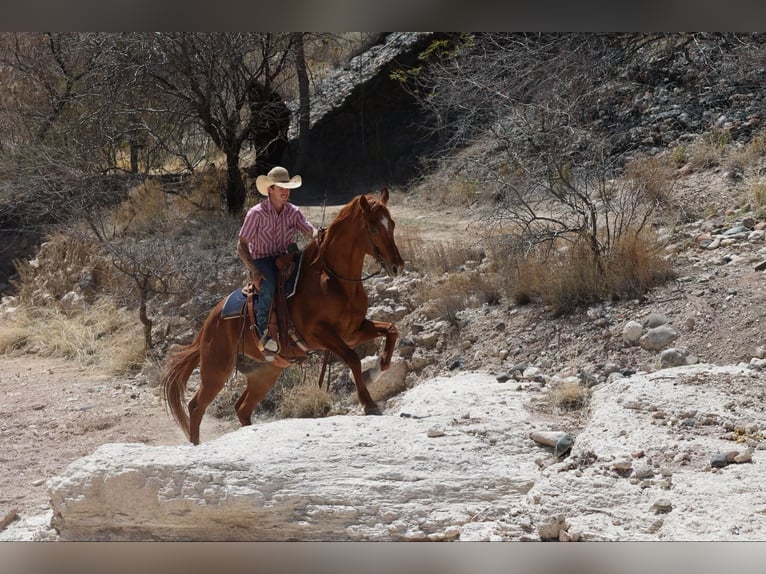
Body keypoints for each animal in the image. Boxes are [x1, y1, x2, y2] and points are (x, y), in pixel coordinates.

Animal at [161, 188, 405, 445]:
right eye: (373, 228)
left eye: (392, 224)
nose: (397, 266)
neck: (334, 281)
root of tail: (209, 322)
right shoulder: (319, 335)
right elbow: (352, 358)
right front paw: (368, 401)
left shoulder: (353, 331)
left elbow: (391, 330)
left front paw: (374, 372)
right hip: (216, 371)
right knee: (196, 406)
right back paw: (195, 445)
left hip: (264, 374)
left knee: (242, 408)